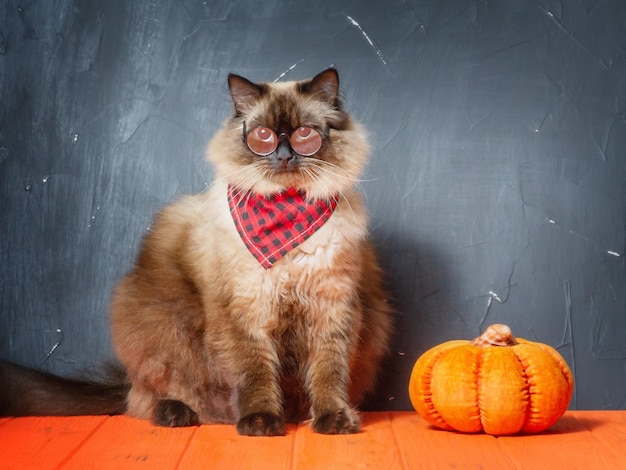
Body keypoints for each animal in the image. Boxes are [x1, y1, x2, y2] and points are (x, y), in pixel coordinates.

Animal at [0, 69, 390, 436]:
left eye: (304, 135)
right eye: (263, 137)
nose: (283, 155)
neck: (285, 214)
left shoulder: (332, 308)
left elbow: (328, 374)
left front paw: (332, 421)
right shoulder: (244, 310)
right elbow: (255, 374)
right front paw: (260, 422)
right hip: (163, 326)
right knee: (149, 401)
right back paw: (179, 414)